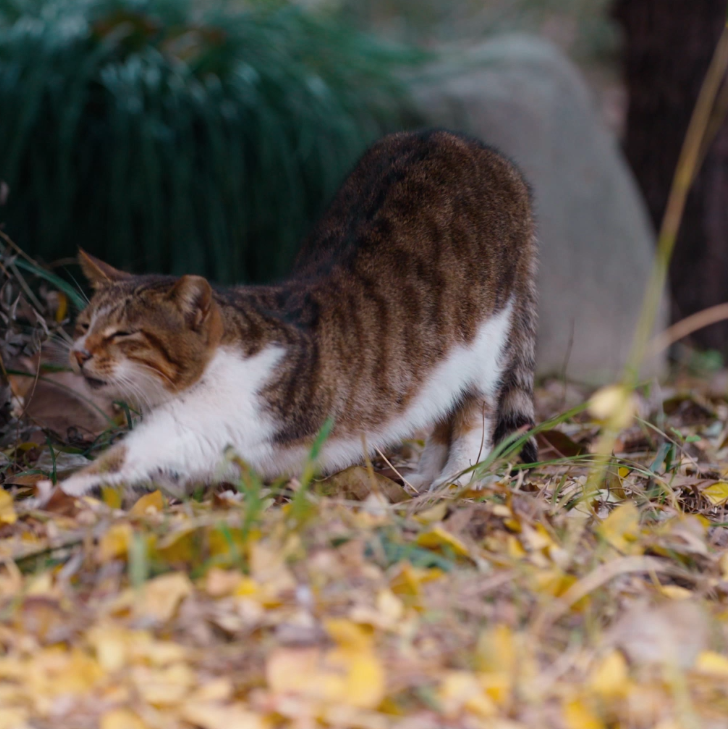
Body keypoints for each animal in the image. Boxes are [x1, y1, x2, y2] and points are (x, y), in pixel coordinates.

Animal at [44, 128, 536, 498]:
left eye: (124, 334)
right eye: (85, 325)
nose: (78, 353)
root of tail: (477, 148)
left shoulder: (210, 422)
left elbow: (131, 454)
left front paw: (59, 493)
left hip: (486, 342)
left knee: (475, 412)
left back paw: (457, 479)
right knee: (441, 408)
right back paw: (424, 473)